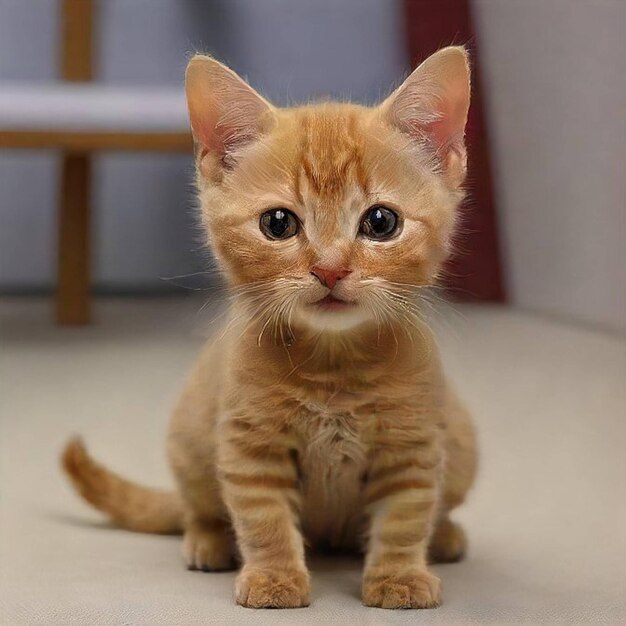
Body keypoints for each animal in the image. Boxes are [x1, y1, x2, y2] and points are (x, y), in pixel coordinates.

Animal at [62, 46, 472, 608]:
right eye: (278, 224)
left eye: (381, 222)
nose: (330, 269)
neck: (333, 367)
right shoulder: (249, 445)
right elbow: (263, 519)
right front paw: (274, 579)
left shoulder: (412, 445)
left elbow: (405, 516)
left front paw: (399, 576)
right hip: (188, 437)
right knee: (197, 507)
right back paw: (208, 540)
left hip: (464, 440)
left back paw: (445, 536)